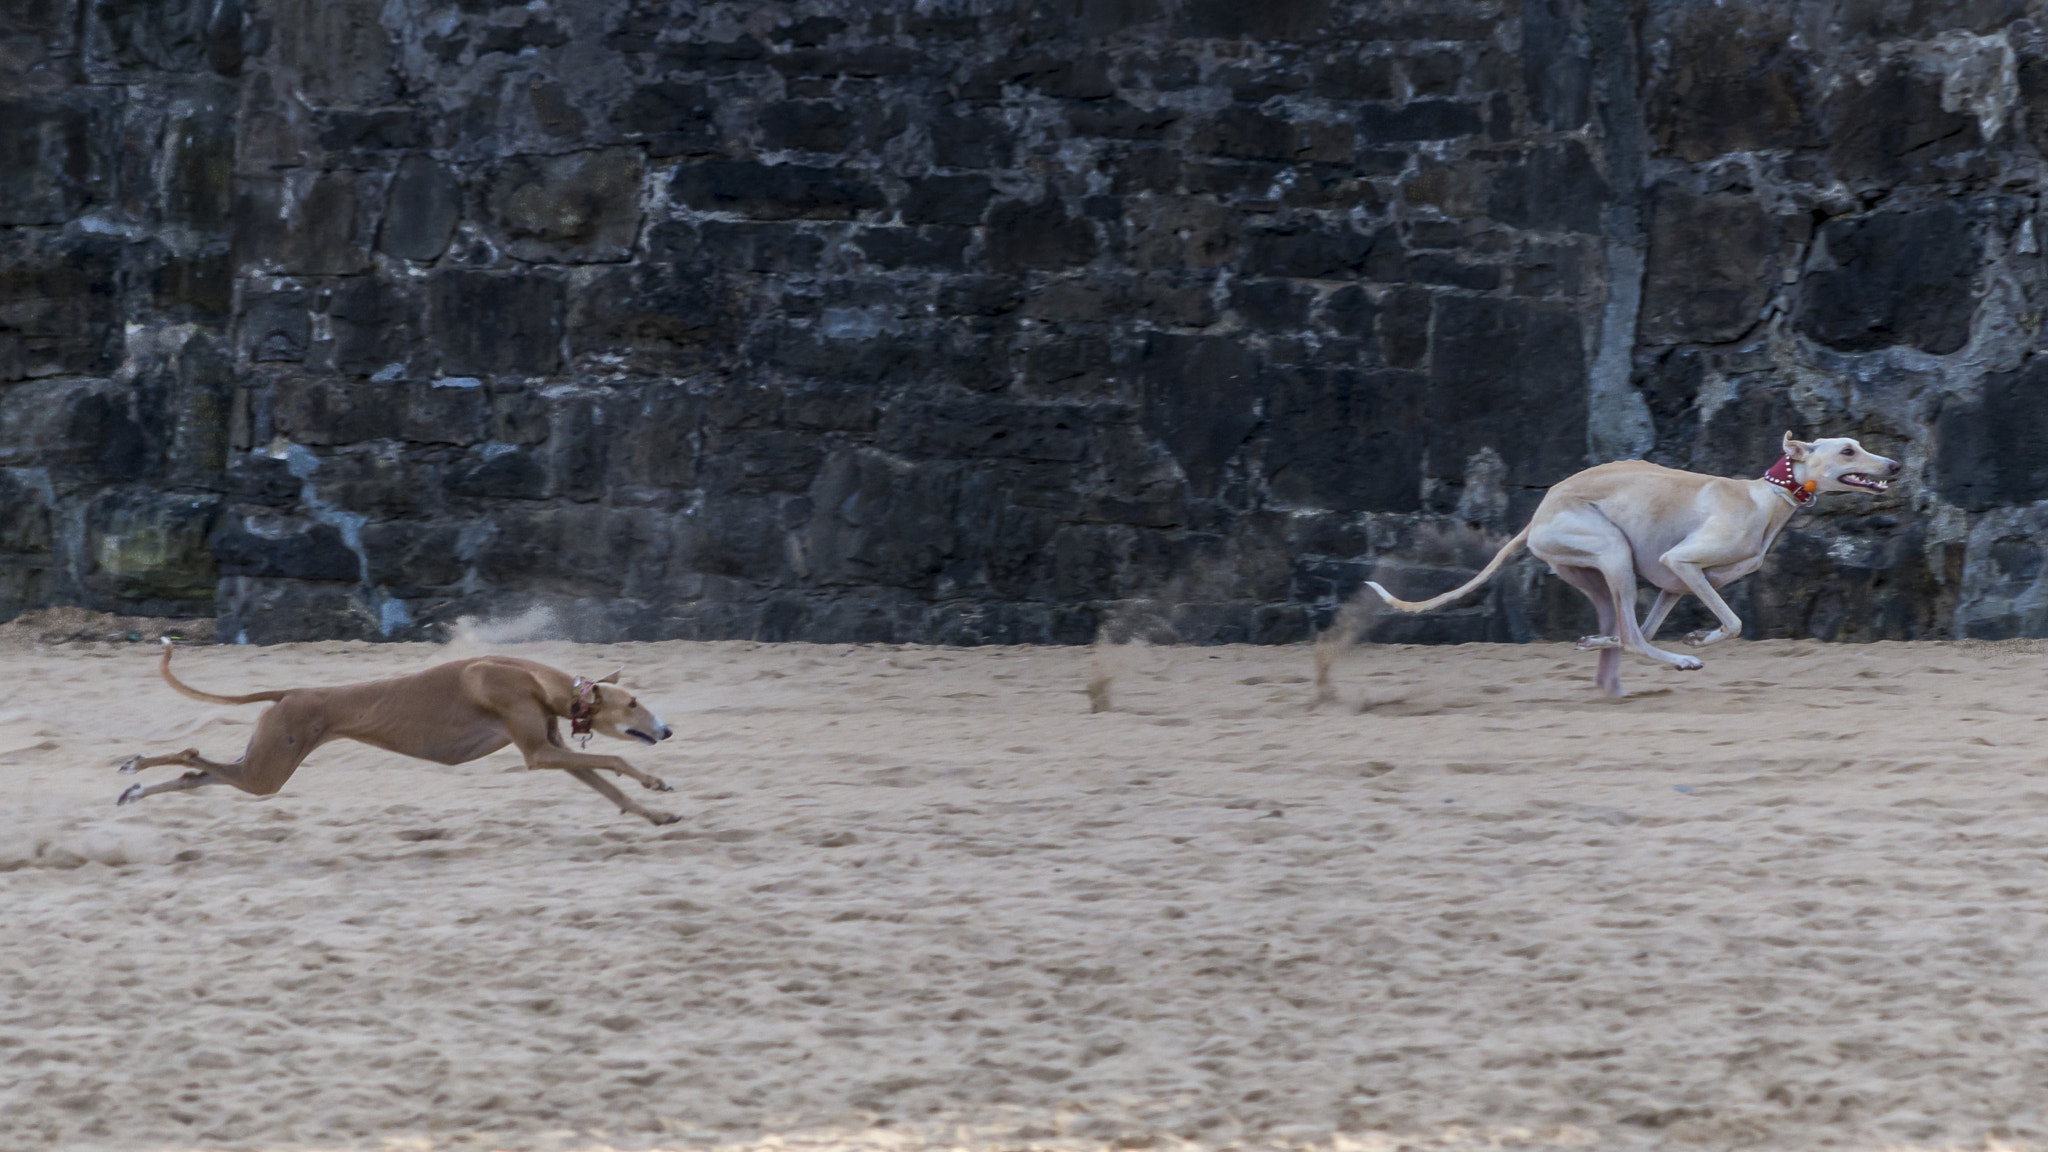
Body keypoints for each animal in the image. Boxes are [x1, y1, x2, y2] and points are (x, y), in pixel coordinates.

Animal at [117, 639, 679, 819]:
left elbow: (610, 787)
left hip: (263, 761)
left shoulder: (552, 748)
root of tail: (290, 692)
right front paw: (657, 782)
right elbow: (614, 758)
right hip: (268, 770)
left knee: (195, 772)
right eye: (634, 703)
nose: (668, 730)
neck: (532, 678)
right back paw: (134, 766)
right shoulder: (539, 753)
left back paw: (136, 787)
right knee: (191, 755)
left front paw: (655, 815)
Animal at [1368, 430, 1908, 688]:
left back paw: (1601, 642)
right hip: (1613, 551)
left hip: (1595, 569)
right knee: (1632, 636)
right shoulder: (1682, 560)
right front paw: (1699, 640)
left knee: (1628, 632)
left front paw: (1687, 637)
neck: (1764, 498)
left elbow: (1652, 627)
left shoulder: (1674, 583)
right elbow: (1732, 623)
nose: (1896, 465)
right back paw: (1682, 661)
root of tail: (1539, 513)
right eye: (1848, 449)